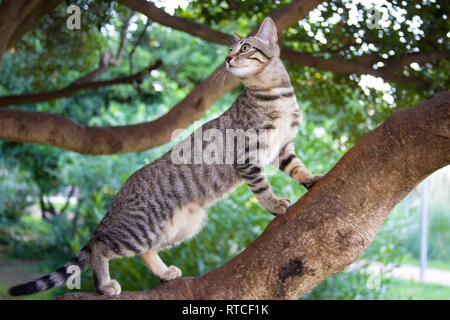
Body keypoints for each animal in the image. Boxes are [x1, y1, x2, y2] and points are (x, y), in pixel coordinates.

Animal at [8, 16, 322, 298]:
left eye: (244, 47)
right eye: (229, 50)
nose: (228, 59)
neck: (275, 94)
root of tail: (119, 196)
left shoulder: (283, 148)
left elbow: (297, 167)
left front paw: (312, 179)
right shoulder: (247, 155)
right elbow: (262, 187)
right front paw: (274, 204)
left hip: (182, 227)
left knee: (144, 251)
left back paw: (163, 272)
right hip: (140, 229)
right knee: (100, 243)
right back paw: (104, 284)